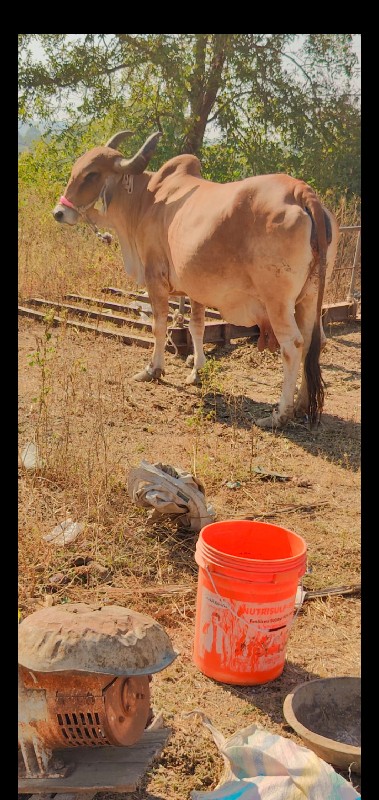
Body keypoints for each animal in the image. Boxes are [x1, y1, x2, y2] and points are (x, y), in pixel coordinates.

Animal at [52, 131, 338, 428]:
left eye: (92, 174)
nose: (59, 212)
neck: (146, 199)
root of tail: (300, 191)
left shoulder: (155, 279)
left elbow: (158, 327)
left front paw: (153, 369)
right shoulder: (196, 289)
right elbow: (196, 327)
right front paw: (197, 371)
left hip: (278, 302)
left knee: (293, 346)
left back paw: (280, 414)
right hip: (309, 297)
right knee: (313, 341)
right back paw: (303, 404)